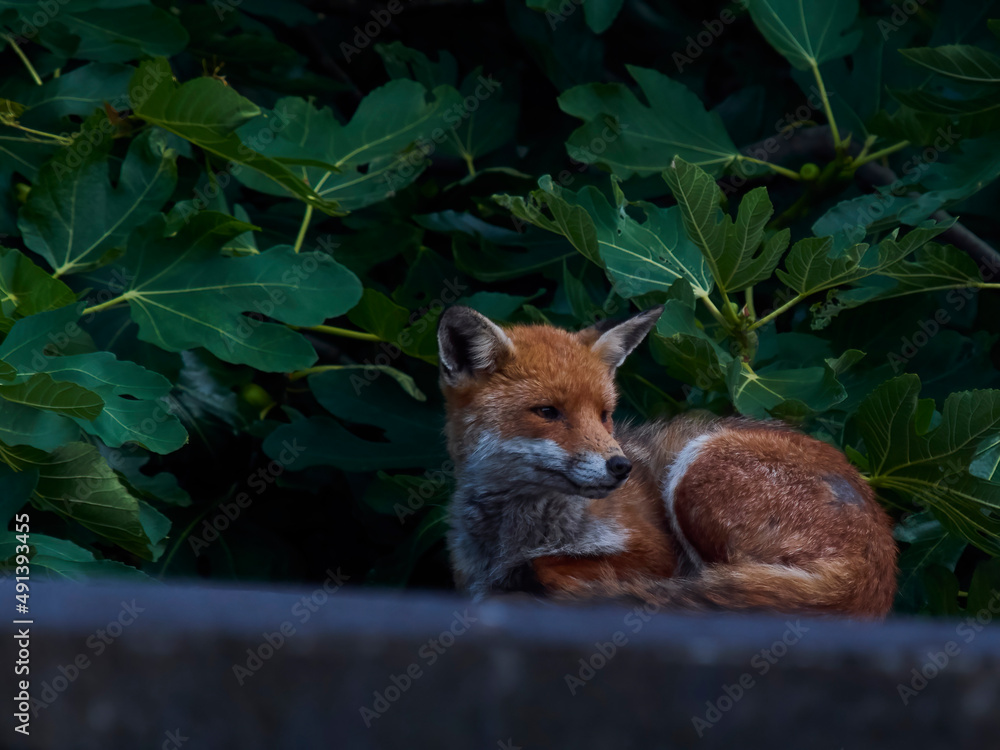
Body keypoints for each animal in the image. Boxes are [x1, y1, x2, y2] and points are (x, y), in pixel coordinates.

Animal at [438, 305, 899, 619]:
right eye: (547, 412)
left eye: (605, 414)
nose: (621, 467)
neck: (518, 536)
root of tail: (879, 561)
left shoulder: (655, 553)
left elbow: (551, 566)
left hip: (696, 468)